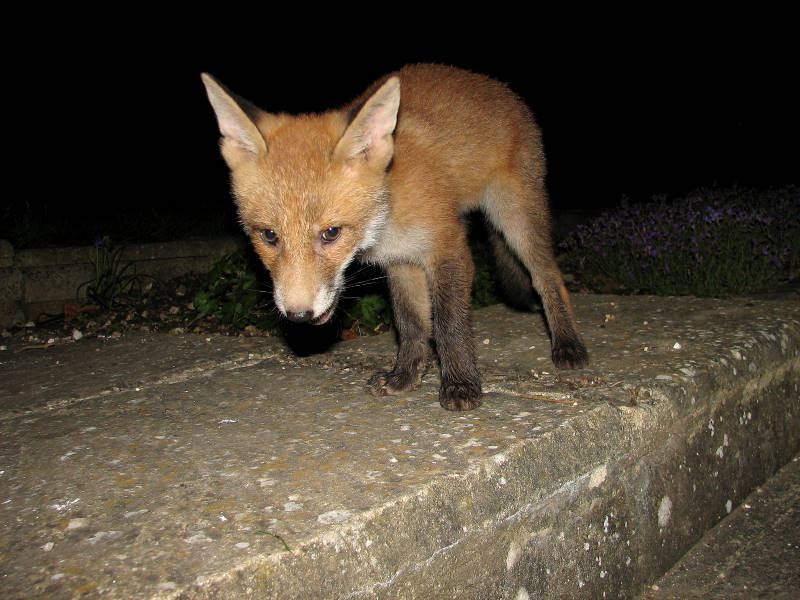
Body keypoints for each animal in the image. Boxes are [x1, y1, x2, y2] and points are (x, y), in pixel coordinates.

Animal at [201, 63, 588, 411]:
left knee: (549, 276)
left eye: (331, 233)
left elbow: (448, 323)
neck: (387, 217)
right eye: (269, 235)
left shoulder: (447, 247)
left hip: (516, 218)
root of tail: (499, 86)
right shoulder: (401, 262)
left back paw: (568, 343)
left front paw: (461, 382)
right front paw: (404, 377)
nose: (298, 315)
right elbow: (411, 324)